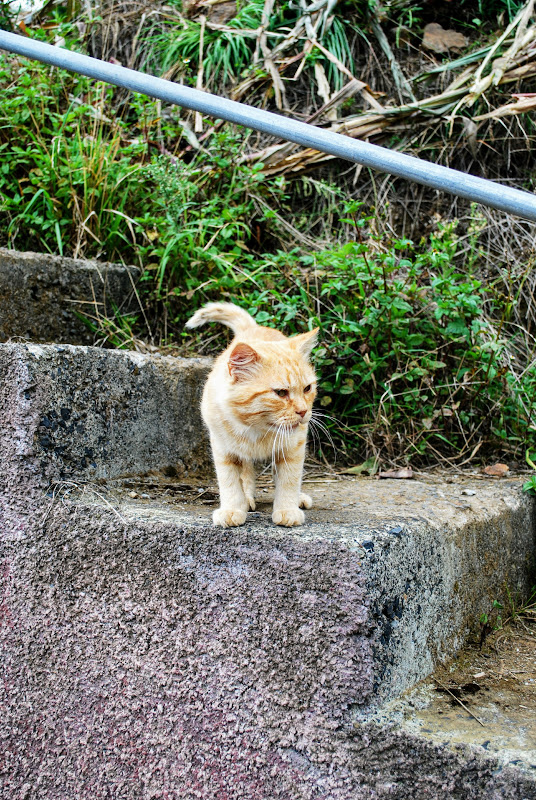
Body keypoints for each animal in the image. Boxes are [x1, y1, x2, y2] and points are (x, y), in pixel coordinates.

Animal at [185, 304, 318, 528]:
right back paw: (246, 500)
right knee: (246, 474)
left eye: (307, 388)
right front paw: (232, 509)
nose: (303, 411)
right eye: (281, 393)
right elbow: (230, 481)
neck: (257, 428)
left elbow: (289, 479)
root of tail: (254, 328)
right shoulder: (223, 449)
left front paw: (287, 509)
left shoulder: (293, 446)